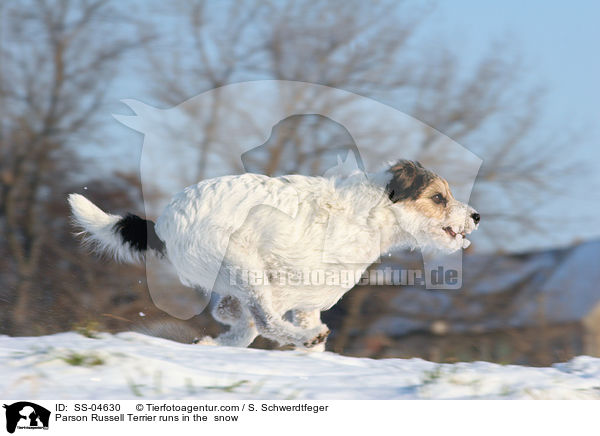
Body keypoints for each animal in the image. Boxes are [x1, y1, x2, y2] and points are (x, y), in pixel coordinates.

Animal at [70, 160, 480, 350]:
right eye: (439, 197)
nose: (476, 216)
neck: (372, 214)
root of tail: (163, 224)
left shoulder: (308, 299)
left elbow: (238, 317)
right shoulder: (287, 284)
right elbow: (257, 319)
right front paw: (306, 341)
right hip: (243, 267)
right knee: (264, 320)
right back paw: (298, 338)